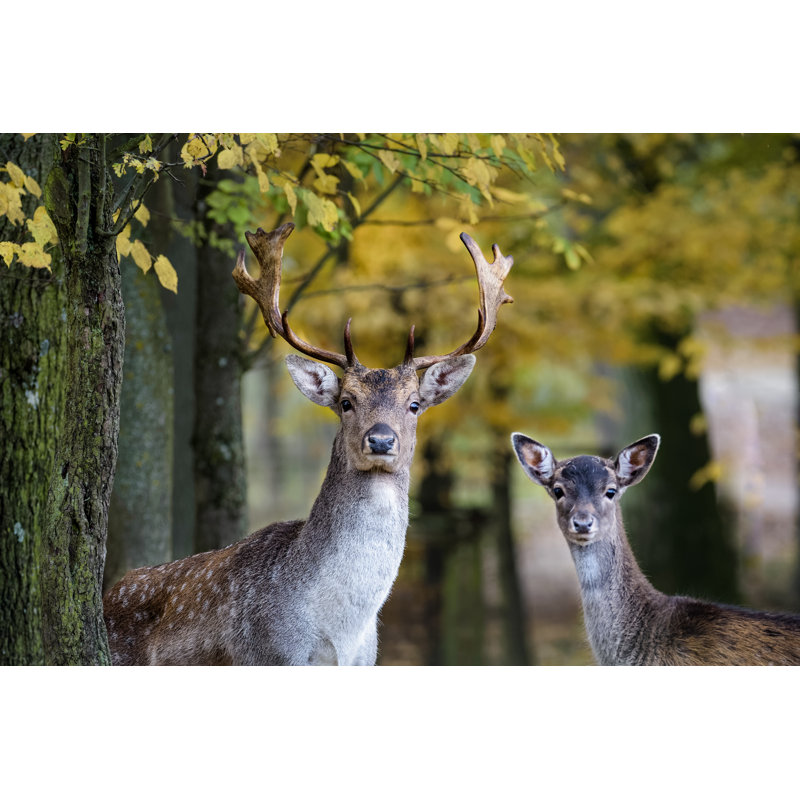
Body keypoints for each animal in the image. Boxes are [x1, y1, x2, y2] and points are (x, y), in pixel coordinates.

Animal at [103, 222, 514, 665]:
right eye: (346, 402)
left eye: (415, 404)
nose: (381, 440)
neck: (340, 635)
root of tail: (107, 594)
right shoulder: (267, 654)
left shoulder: (367, 660)